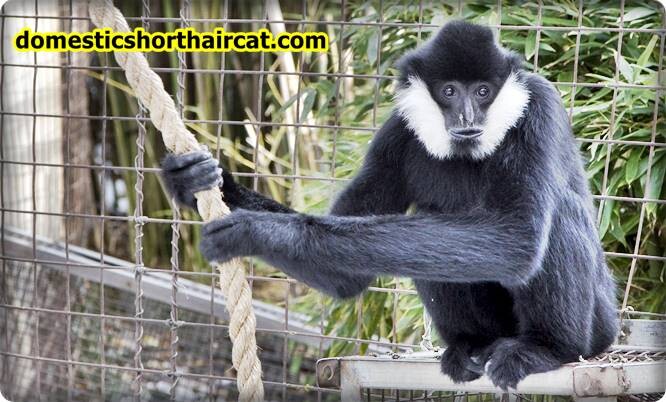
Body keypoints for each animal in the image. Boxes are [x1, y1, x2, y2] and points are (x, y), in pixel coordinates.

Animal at [161, 20, 618, 390]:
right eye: (449, 91)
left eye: (483, 91)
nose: (467, 115)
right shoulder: (396, 133)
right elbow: (345, 275)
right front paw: (201, 181)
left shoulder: (539, 104)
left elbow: (518, 235)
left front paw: (259, 229)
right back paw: (471, 345)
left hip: (599, 326)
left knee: (559, 215)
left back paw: (547, 348)